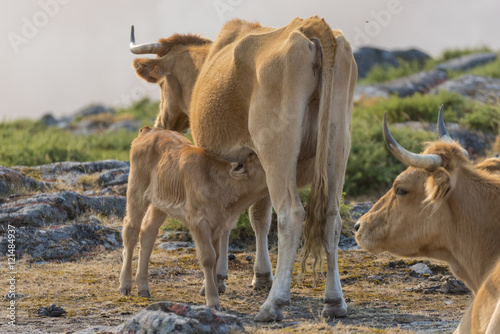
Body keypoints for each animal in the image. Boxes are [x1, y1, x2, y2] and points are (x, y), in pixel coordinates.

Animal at [129, 18, 356, 320]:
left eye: (162, 84)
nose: (160, 121)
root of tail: (311, 26)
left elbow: (227, 223)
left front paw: (217, 280)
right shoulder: (253, 167)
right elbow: (259, 217)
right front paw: (260, 276)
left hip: (277, 149)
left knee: (291, 214)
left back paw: (273, 304)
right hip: (337, 143)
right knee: (331, 218)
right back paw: (334, 301)